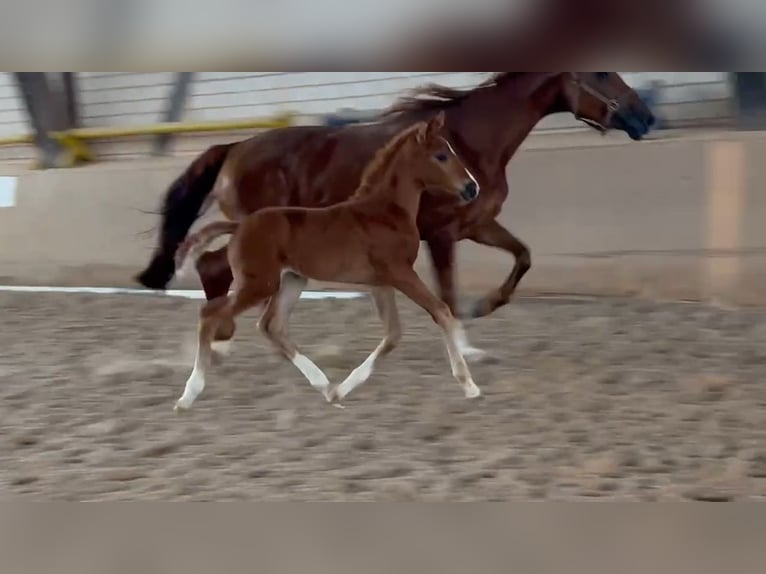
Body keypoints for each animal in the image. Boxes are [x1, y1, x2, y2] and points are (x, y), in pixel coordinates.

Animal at [173, 112, 480, 412]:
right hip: (260, 284)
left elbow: (393, 334)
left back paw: (325, 387)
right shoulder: (400, 273)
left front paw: (342, 390)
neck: (385, 212)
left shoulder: (380, 282)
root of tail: (238, 226)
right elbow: (440, 311)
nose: (472, 188)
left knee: (272, 325)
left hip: (292, 280)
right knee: (210, 315)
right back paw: (188, 395)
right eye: (441, 155)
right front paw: (469, 385)